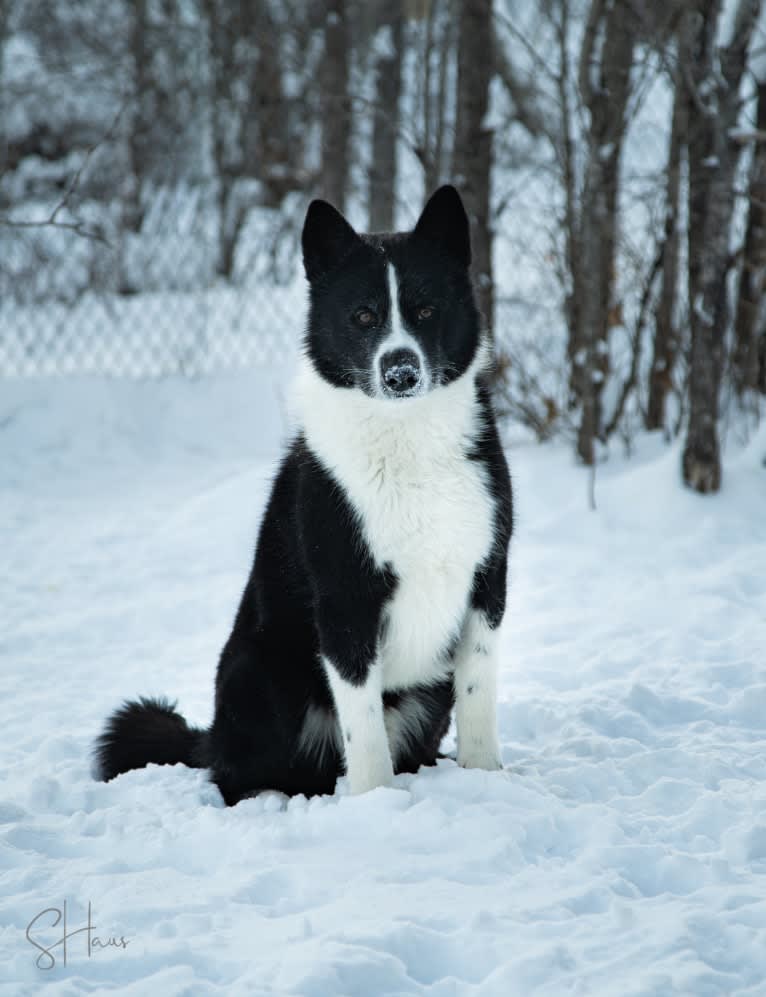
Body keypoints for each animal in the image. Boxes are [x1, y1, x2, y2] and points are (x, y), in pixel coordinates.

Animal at [97, 187, 516, 804]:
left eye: (425, 310)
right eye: (363, 315)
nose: (400, 373)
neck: (407, 441)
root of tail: (211, 737)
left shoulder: (487, 581)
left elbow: (479, 696)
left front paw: (485, 780)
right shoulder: (345, 599)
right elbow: (363, 724)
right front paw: (376, 803)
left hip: (425, 691)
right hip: (255, 673)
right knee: (241, 773)